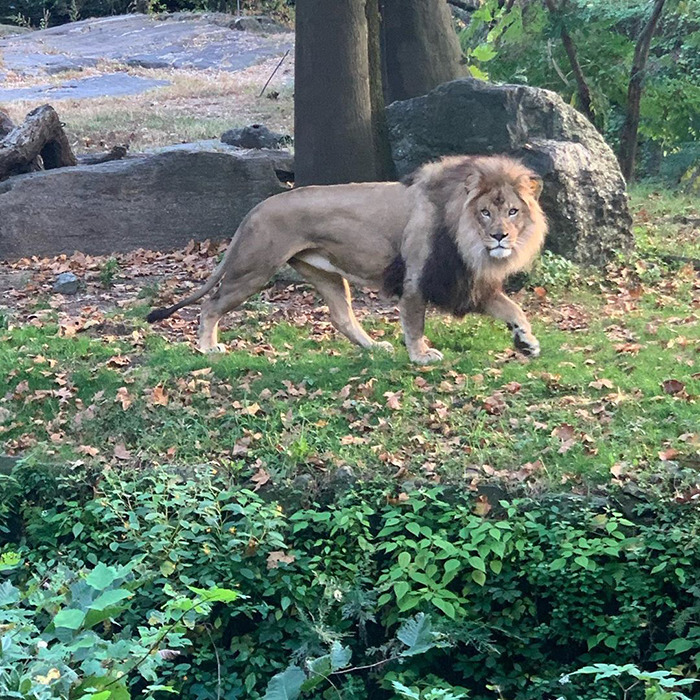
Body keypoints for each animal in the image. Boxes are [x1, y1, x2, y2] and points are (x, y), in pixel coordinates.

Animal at [147, 155, 547, 364]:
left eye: (512, 211)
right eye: (485, 212)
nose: (500, 237)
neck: (467, 240)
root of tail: (255, 208)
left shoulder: (469, 281)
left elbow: (513, 308)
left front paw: (526, 341)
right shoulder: (418, 278)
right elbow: (414, 323)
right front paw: (420, 356)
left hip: (325, 275)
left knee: (342, 318)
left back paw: (374, 347)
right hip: (254, 269)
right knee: (210, 305)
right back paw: (208, 348)